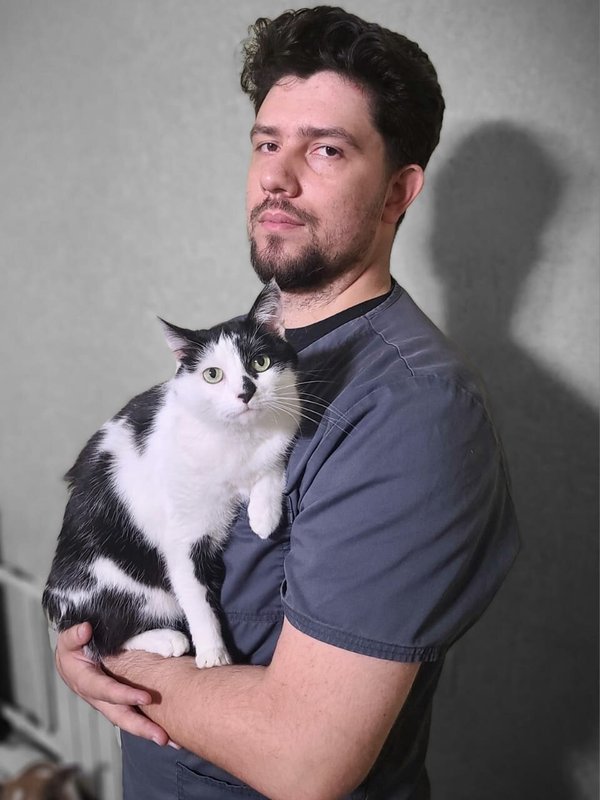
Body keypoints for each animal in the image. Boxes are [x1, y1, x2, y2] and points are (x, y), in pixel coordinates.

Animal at [42, 281, 301, 668]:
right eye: (212, 374)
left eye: (261, 362)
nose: (246, 392)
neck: (237, 438)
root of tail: (56, 602)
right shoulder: (183, 536)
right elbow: (195, 597)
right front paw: (213, 655)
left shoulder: (281, 433)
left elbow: (271, 466)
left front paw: (263, 516)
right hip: (119, 585)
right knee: (105, 639)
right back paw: (168, 640)